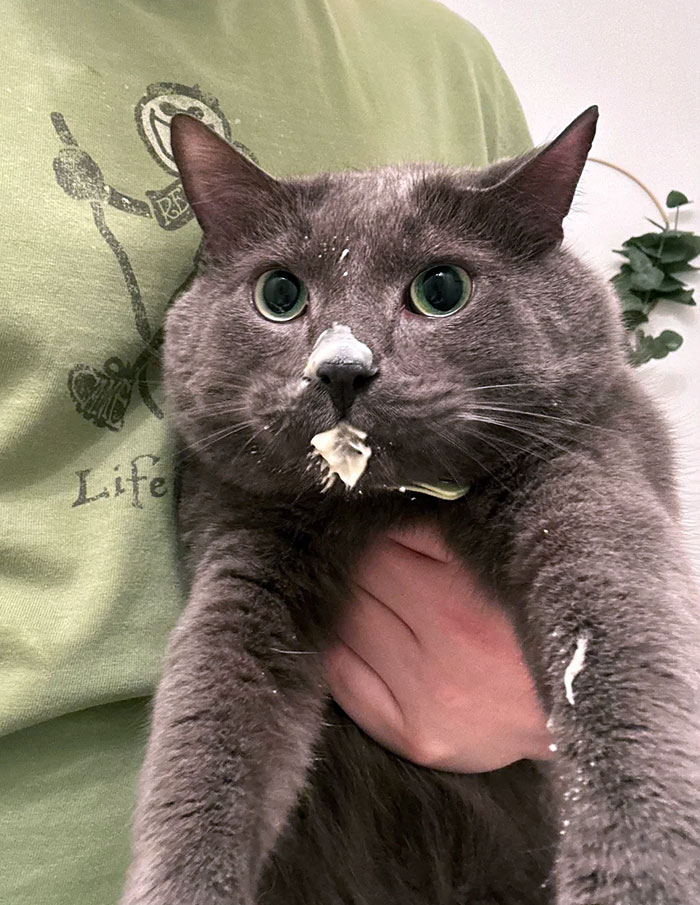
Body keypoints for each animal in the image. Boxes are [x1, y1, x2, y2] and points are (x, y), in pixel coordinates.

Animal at [121, 107, 700, 904]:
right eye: (279, 295)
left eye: (442, 288)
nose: (341, 369)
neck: (386, 503)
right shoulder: (240, 544)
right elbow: (208, 729)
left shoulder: (594, 480)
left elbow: (623, 672)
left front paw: (636, 880)